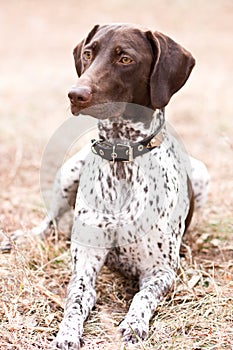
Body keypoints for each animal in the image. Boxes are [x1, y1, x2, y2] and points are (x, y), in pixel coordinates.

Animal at [1, 23, 210, 348]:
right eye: (88, 54)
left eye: (125, 59)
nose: (75, 94)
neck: (122, 158)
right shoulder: (84, 266)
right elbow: (76, 298)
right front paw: (67, 332)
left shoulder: (160, 271)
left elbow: (142, 297)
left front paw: (134, 324)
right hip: (69, 172)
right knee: (49, 222)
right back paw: (22, 238)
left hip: (201, 175)